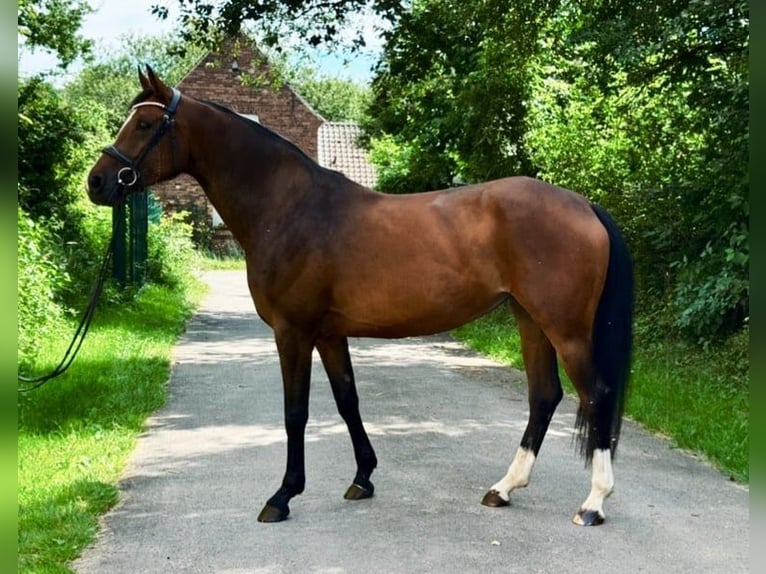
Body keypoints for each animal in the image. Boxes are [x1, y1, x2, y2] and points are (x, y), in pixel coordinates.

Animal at [87, 66, 632, 528]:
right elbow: (347, 400)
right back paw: (504, 488)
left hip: (564, 328)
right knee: (544, 396)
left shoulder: (293, 331)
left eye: (145, 124)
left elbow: (296, 412)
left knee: (597, 394)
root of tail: (583, 204)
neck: (289, 208)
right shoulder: (329, 334)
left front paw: (282, 496)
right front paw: (362, 478)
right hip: (529, 319)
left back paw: (593, 503)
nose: (97, 183)